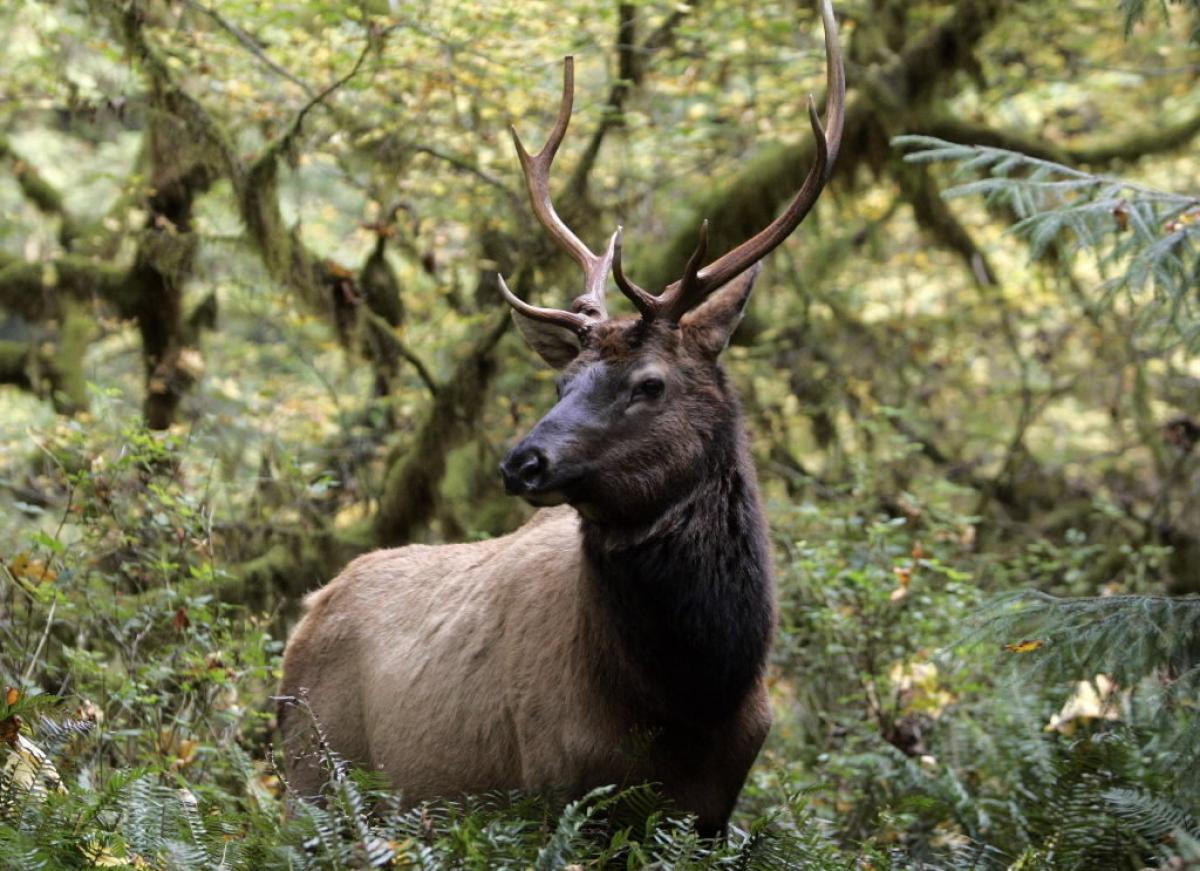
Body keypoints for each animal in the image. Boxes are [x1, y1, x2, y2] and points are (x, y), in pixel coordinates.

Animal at [279, 0, 844, 839]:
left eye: (649, 383)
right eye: (562, 380)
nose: (523, 461)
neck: (690, 703)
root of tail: (306, 613)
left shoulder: (714, 810)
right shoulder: (554, 788)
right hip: (313, 780)